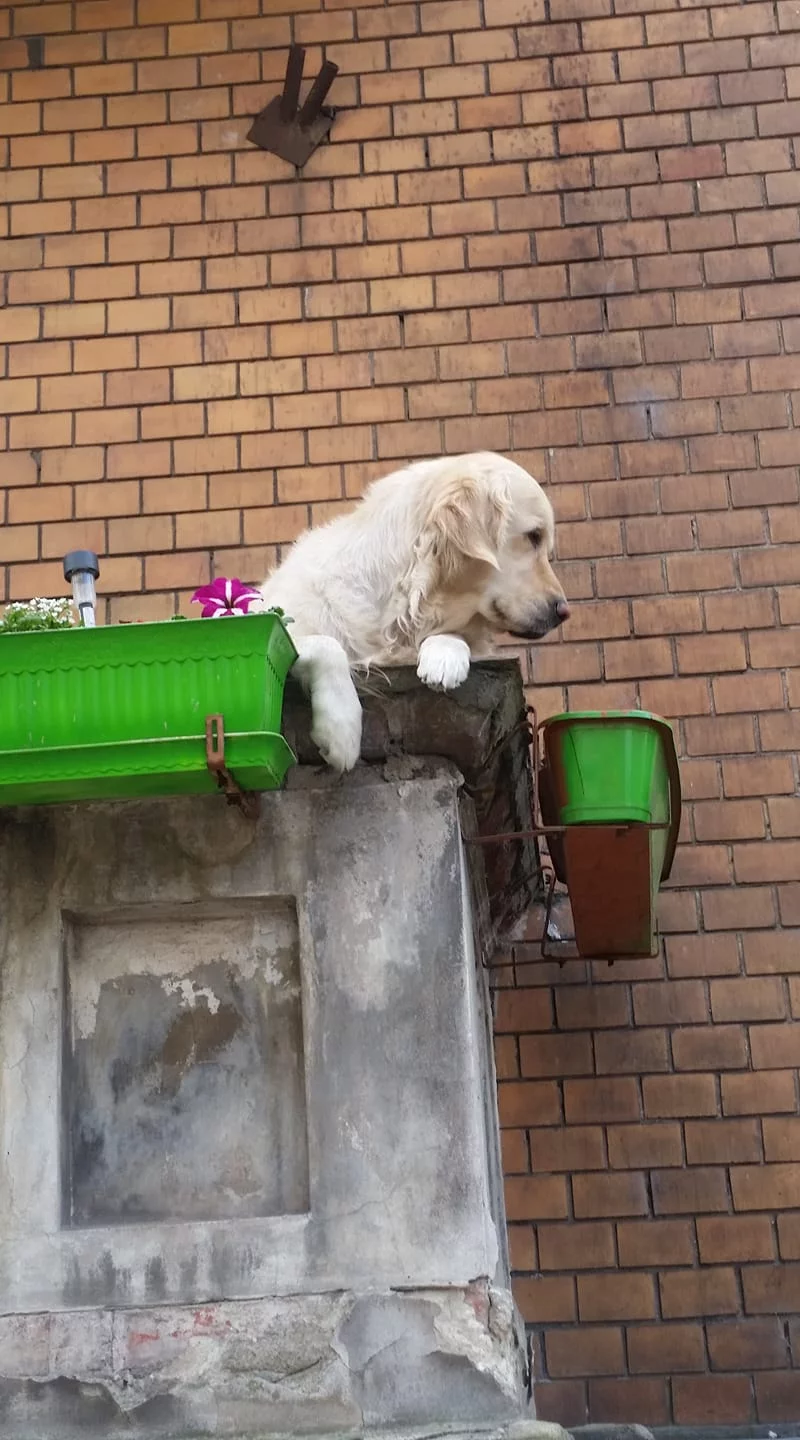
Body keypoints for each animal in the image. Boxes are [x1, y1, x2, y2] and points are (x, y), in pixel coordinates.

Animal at [257, 452, 569, 777]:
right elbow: (328, 645)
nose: (564, 610)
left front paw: (444, 658)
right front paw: (341, 730)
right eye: (533, 536)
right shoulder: (268, 620)